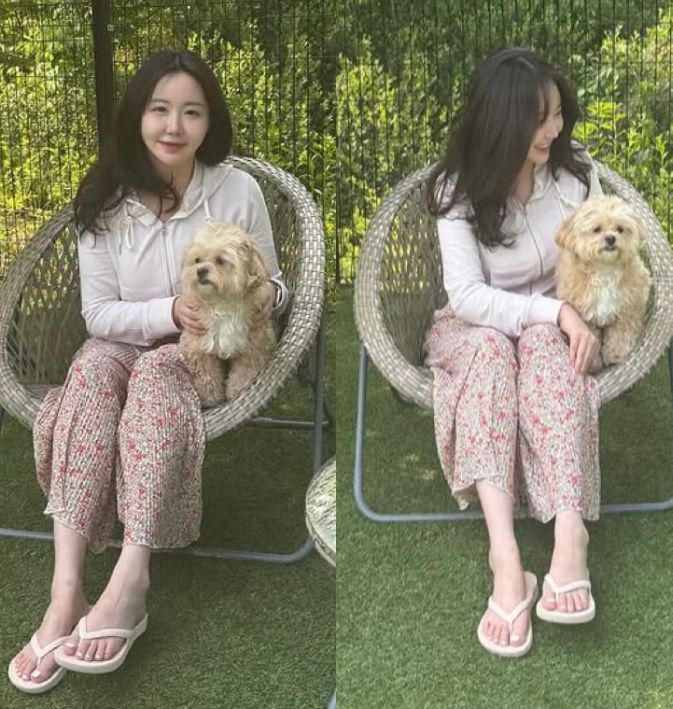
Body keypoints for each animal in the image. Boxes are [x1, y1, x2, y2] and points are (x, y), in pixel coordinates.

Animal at [179, 221, 277, 406]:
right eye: (197, 260)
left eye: (220, 260)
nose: (200, 271)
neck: (222, 301)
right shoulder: (199, 347)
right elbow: (207, 376)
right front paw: (211, 398)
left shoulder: (254, 346)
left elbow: (243, 374)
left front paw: (236, 392)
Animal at [554, 195, 651, 373]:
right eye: (596, 229)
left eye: (620, 229)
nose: (611, 238)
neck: (604, 269)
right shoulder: (584, 314)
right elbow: (592, 336)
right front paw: (593, 362)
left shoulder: (630, 305)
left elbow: (622, 330)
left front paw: (615, 353)